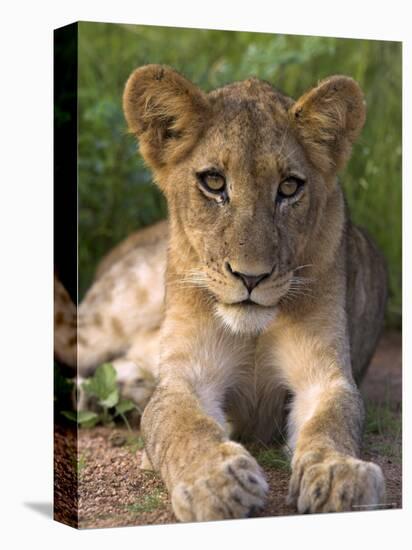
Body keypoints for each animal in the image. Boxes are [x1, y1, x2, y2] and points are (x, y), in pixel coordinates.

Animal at [56, 64, 388, 520]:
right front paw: (215, 482)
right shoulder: (184, 378)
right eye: (214, 182)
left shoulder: (325, 377)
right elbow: (183, 426)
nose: (251, 277)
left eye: (289, 187)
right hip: (101, 324)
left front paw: (340, 474)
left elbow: (331, 422)